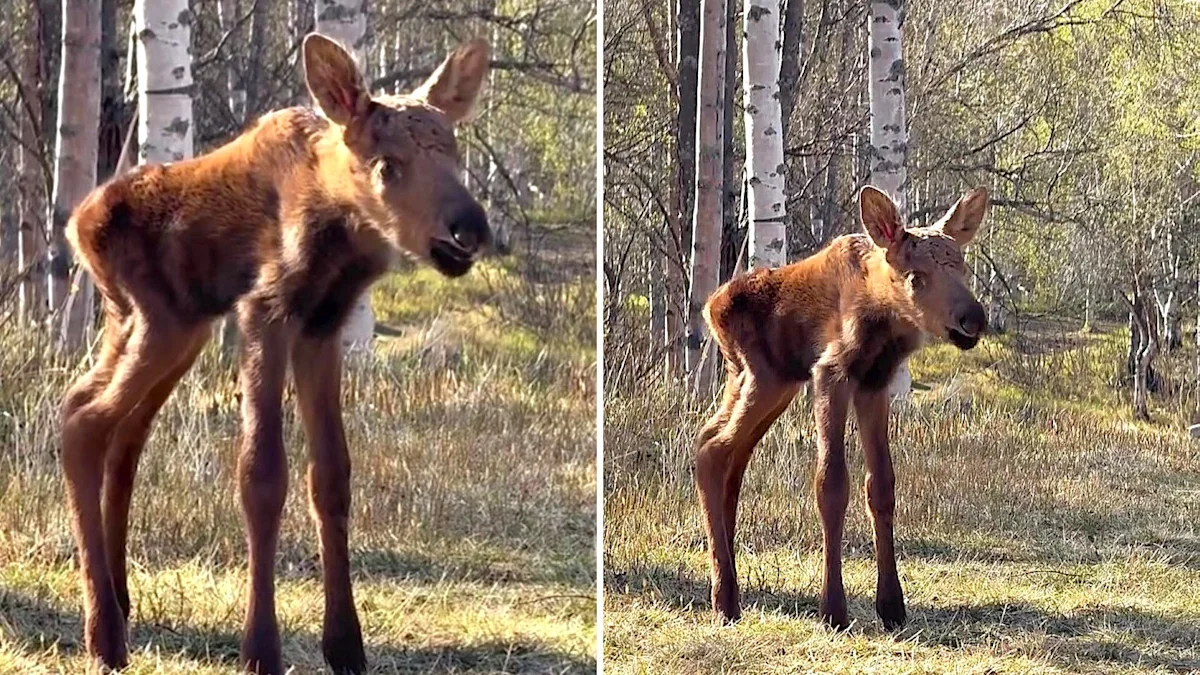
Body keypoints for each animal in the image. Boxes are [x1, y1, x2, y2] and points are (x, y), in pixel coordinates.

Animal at [59, 34, 492, 675]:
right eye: (388, 165)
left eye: (456, 155)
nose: (470, 229)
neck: (339, 234)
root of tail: (76, 225)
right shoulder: (265, 311)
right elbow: (261, 475)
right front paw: (261, 648)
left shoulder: (322, 326)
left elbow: (332, 475)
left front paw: (346, 645)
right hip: (162, 321)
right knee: (87, 422)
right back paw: (104, 635)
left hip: (167, 326)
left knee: (110, 424)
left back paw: (119, 597)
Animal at [695, 185, 989, 631]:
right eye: (916, 277)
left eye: (964, 268)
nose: (973, 318)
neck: (884, 323)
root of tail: (710, 308)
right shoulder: (831, 372)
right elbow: (831, 484)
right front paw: (833, 608)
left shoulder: (874, 383)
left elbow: (881, 484)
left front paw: (892, 605)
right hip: (765, 378)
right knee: (713, 450)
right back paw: (725, 599)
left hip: (765, 382)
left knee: (721, 448)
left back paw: (727, 586)